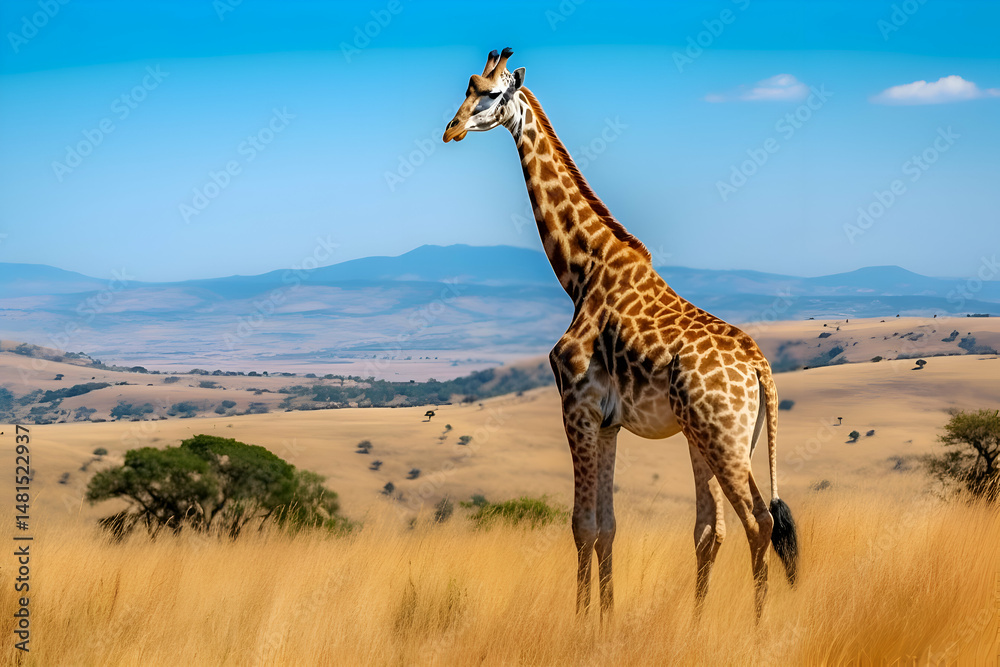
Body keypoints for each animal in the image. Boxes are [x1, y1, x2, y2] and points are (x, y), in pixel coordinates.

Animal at [443, 48, 799, 619]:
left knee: (757, 521)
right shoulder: (608, 423)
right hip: (721, 437)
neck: (580, 271)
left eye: (492, 94)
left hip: (721, 437)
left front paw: (581, 619)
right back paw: (699, 621)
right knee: (717, 527)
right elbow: (607, 526)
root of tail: (760, 367)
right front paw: (605, 616)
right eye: (466, 87)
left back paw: (757, 624)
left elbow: (581, 525)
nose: (451, 130)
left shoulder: (577, 406)